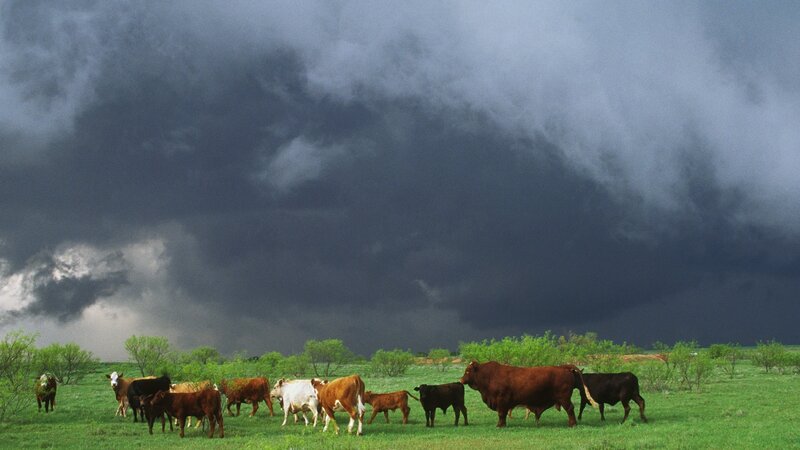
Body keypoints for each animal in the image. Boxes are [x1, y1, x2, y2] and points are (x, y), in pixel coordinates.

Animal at [459, 360, 597, 428]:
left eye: (468, 371)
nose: (460, 380)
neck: (489, 376)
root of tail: (563, 367)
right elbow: (503, 415)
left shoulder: (502, 400)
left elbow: (501, 414)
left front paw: (500, 425)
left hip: (564, 398)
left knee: (570, 409)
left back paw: (572, 424)